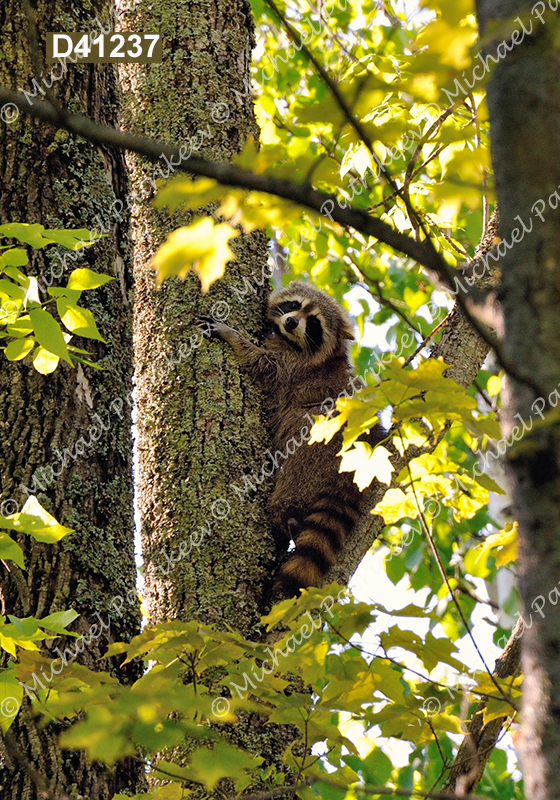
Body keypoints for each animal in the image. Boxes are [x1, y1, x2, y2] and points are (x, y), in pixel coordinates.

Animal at [203, 282, 370, 592]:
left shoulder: (293, 369)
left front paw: (234, 338)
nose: (291, 322)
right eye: (294, 305)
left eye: (314, 322)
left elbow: (264, 365)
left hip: (319, 443)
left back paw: (286, 515)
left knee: (294, 470)